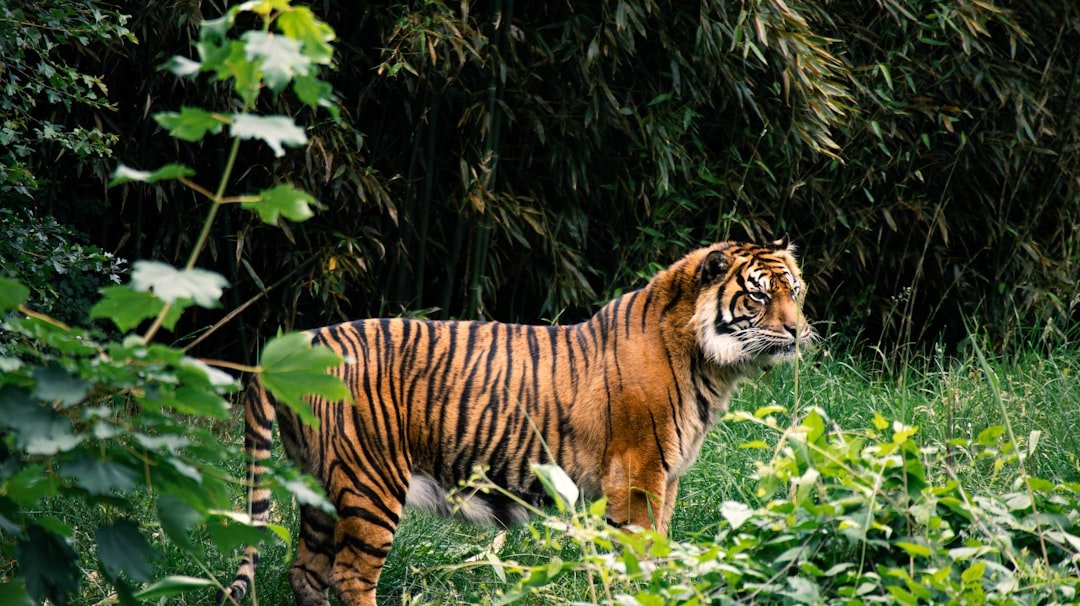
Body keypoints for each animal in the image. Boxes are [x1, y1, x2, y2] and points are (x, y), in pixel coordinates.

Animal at [223, 237, 812, 606]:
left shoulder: (665, 476)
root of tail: (302, 343)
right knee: (349, 576)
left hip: (320, 484)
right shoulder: (639, 472)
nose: (800, 331)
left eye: (796, 292)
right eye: (758, 295)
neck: (709, 363)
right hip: (371, 481)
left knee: (305, 572)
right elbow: (639, 554)